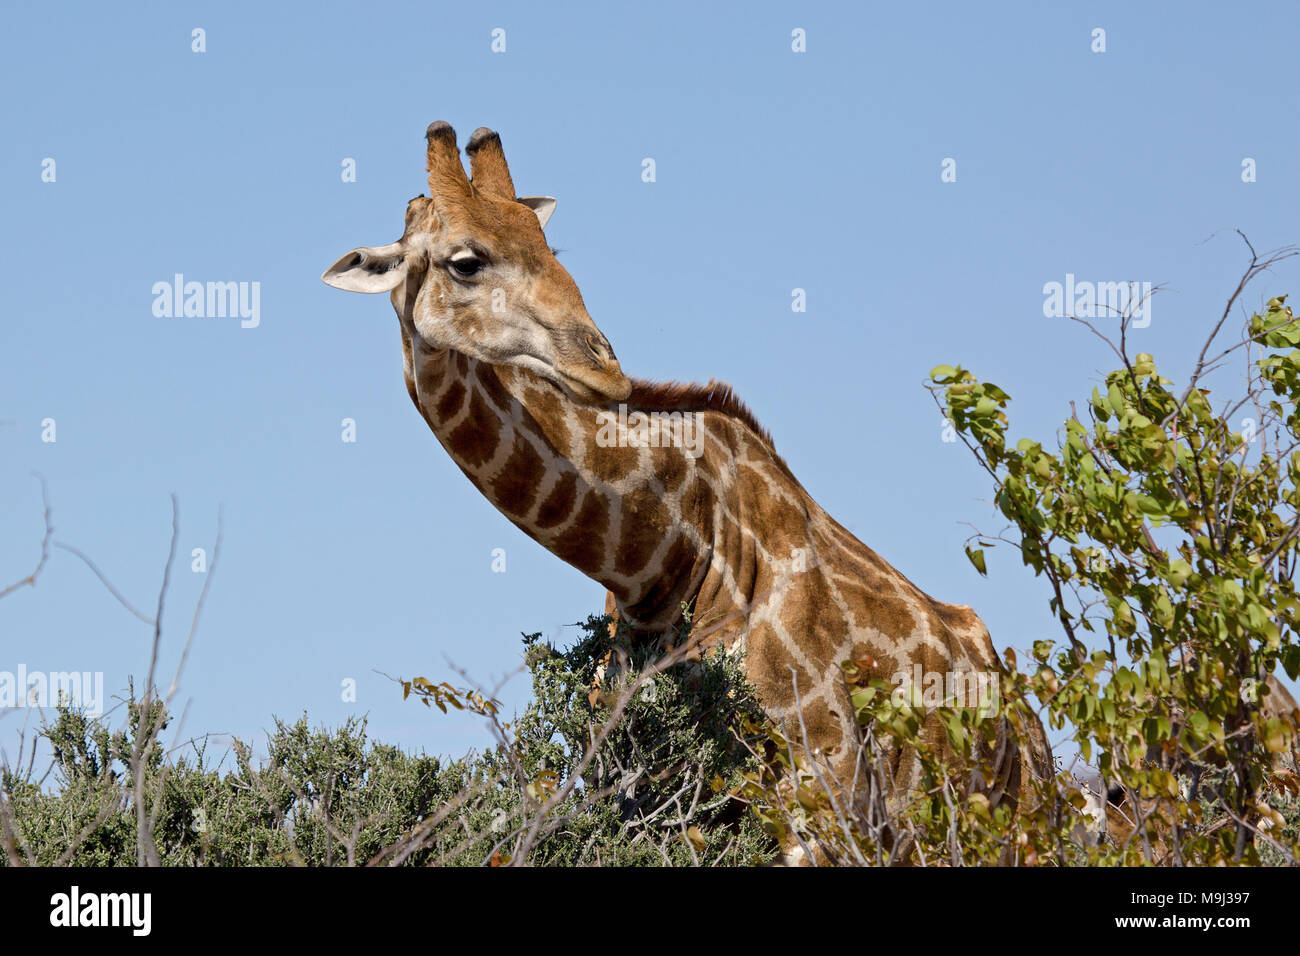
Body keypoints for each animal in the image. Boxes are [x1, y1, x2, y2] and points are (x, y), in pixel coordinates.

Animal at [322, 121, 1055, 853]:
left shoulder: (826, 783)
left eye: (549, 247)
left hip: (1011, 826)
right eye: (466, 262)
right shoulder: (645, 796)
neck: (661, 563)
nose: (603, 367)